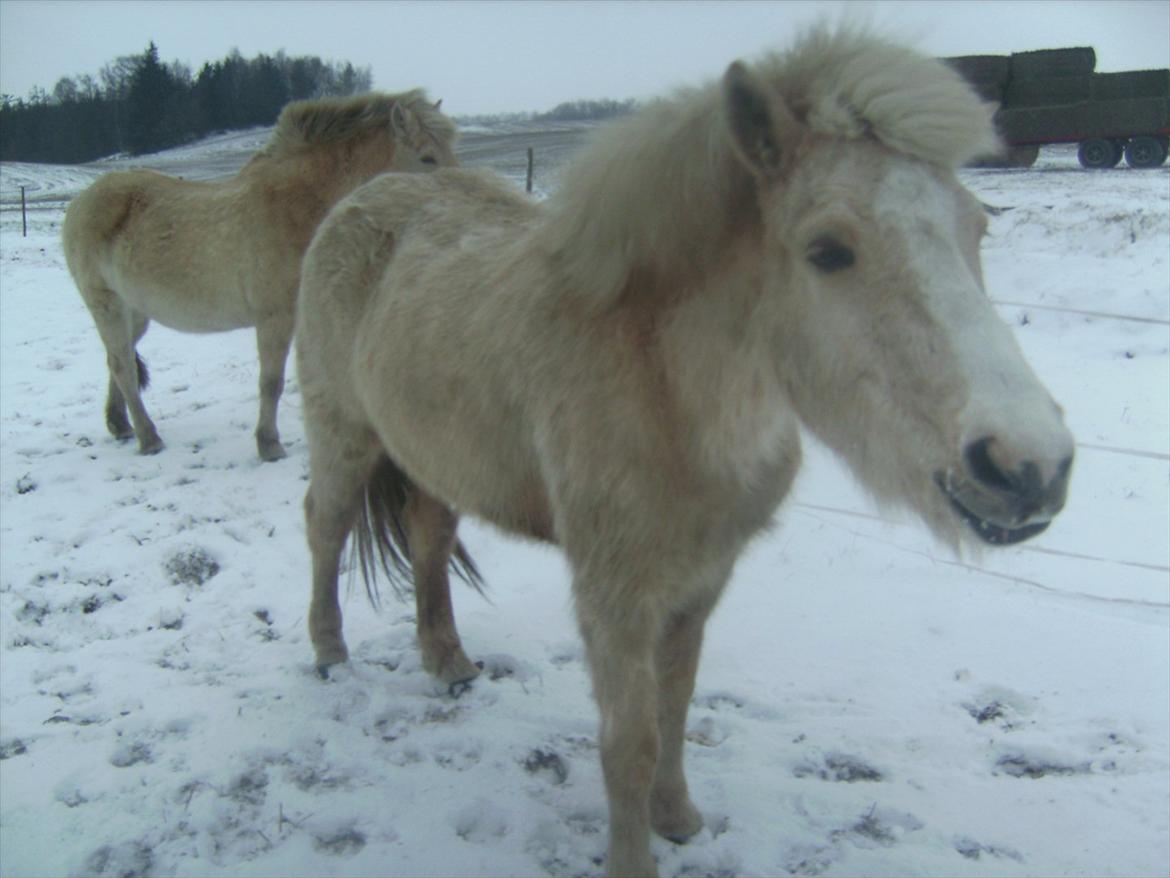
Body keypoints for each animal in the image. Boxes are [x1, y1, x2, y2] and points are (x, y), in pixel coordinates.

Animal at [60, 89, 456, 461]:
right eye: (427, 157)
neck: (297, 206)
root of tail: (81, 201)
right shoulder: (274, 319)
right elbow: (271, 382)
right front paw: (270, 445)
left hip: (136, 313)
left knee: (118, 359)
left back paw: (120, 425)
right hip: (107, 305)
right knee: (123, 367)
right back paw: (148, 437)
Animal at [297, 27, 1071, 878]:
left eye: (976, 229)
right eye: (828, 250)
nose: (1030, 466)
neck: (666, 386)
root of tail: (364, 201)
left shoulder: (701, 578)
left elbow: (676, 704)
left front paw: (677, 817)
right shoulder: (615, 596)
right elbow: (627, 743)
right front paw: (635, 857)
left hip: (432, 456)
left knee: (429, 538)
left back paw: (449, 664)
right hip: (342, 433)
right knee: (326, 525)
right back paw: (329, 653)